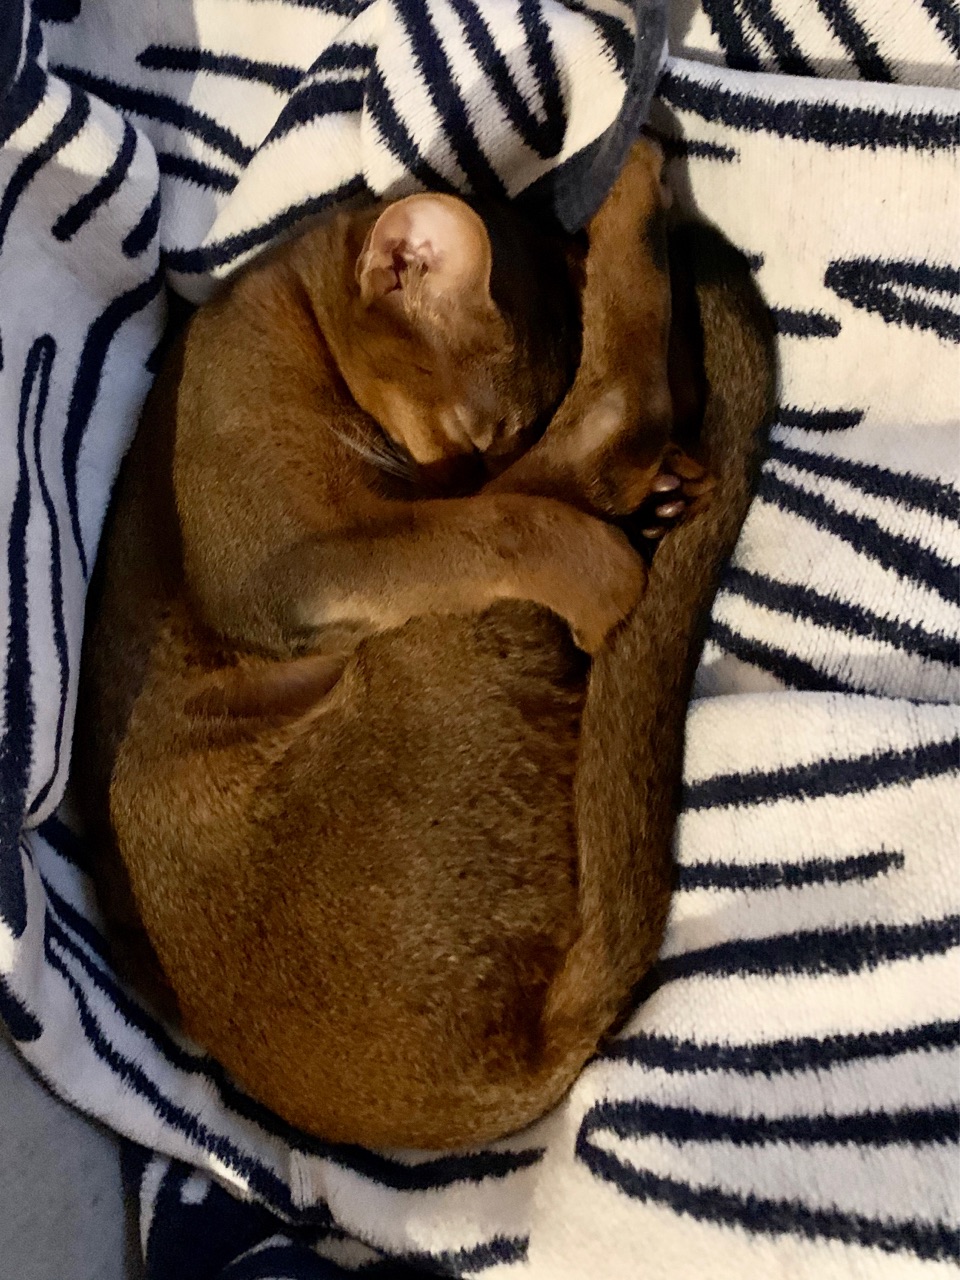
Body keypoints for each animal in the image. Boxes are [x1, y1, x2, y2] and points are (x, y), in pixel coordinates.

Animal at [75, 140, 775, 1150]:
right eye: (480, 431)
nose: (472, 472)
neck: (279, 310)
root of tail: (513, 1073)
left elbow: (498, 505)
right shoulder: (292, 563)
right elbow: (488, 526)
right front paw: (603, 569)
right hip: (429, 645)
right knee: (609, 418)